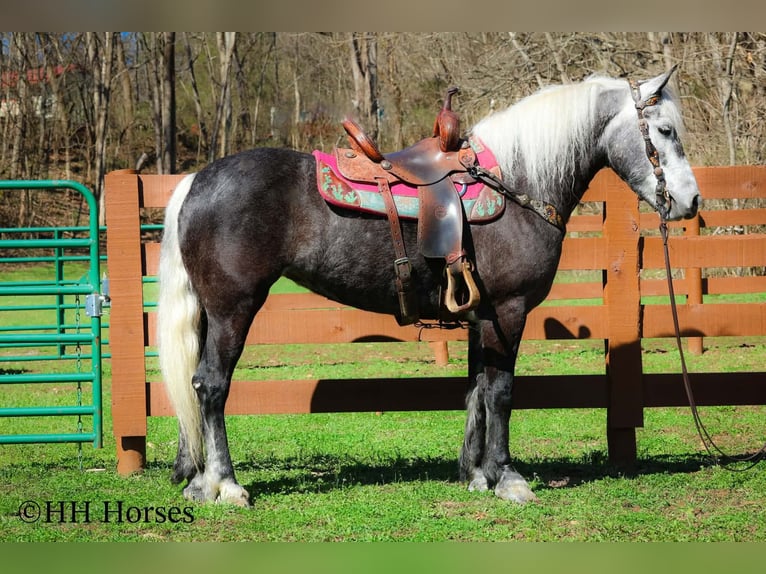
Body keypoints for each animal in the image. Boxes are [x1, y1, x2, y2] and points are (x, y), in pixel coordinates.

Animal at [157, 66, 701, 506]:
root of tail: (196, 180)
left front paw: (476, 475)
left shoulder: (482, 316)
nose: (690, 201)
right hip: (234, 309)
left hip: (211, 314)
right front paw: (507, 478)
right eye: (665, 130)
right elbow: (501, 391)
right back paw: (226, 485)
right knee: (212, 385)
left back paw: (200, 482)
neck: (518, 182)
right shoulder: (508, 311)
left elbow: (477, 388)